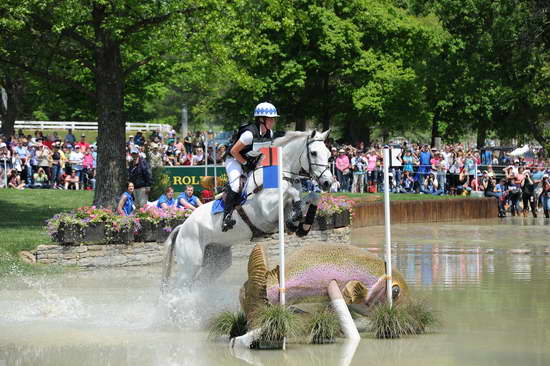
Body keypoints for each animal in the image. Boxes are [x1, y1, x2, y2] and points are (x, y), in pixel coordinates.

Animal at [162, 130, 334, 290]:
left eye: (329, 155)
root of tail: (182, 227)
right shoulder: (266, 210)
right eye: (314, 153)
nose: (328, 183)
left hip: (217, 259)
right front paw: (296, 220)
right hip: (190, 264)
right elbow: (292, 192)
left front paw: (302, 226)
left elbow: (312, 196)